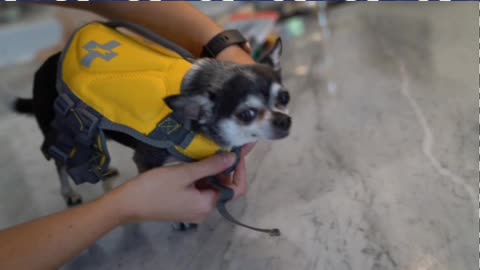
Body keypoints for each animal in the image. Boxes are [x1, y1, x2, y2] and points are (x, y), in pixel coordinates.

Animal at [14, 37, 292, 221]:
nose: (284, 120)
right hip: (66, 128)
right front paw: (181, 220)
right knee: (60, 163)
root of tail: (42, 68)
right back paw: (69, 192)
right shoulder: (147, 161)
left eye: (284, 97)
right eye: (246, 115)